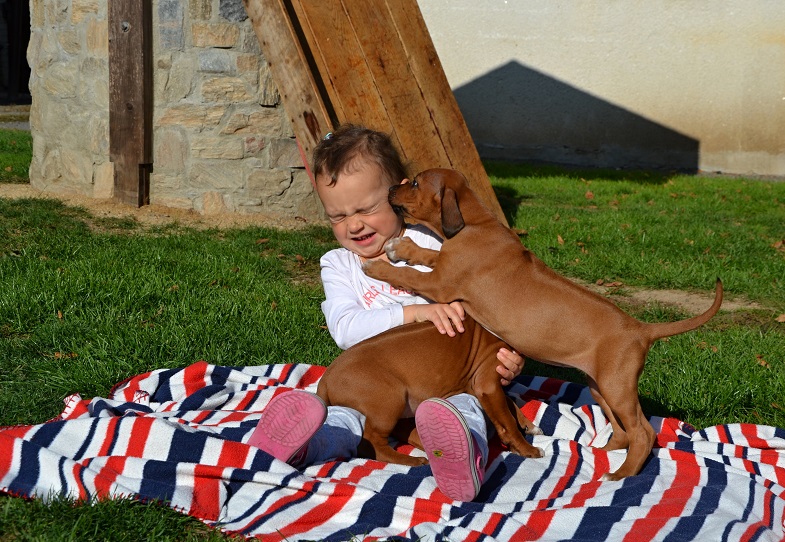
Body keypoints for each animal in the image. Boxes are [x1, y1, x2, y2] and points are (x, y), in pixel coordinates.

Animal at [315, 314, 543, 467]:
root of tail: (325, 380)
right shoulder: (486, 384)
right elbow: (507, 421)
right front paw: (527, 449)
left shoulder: (480, 385)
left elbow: (508, 403)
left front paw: (528, 424)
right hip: (390, 398)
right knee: (371, 443)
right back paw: (412, 460)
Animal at [362, 168, 723, 480]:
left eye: (415, 183)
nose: (391, 188)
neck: (474, 224)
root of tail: (641, 329)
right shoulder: (443, 265)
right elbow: (427, 254)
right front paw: (402, 247)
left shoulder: (440, 284)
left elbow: (409, 274)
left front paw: (377, 266)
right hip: (601, 385)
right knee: (622, 429)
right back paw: (605, 452)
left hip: (617, 387)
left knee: (643, 432)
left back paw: (621, 474)